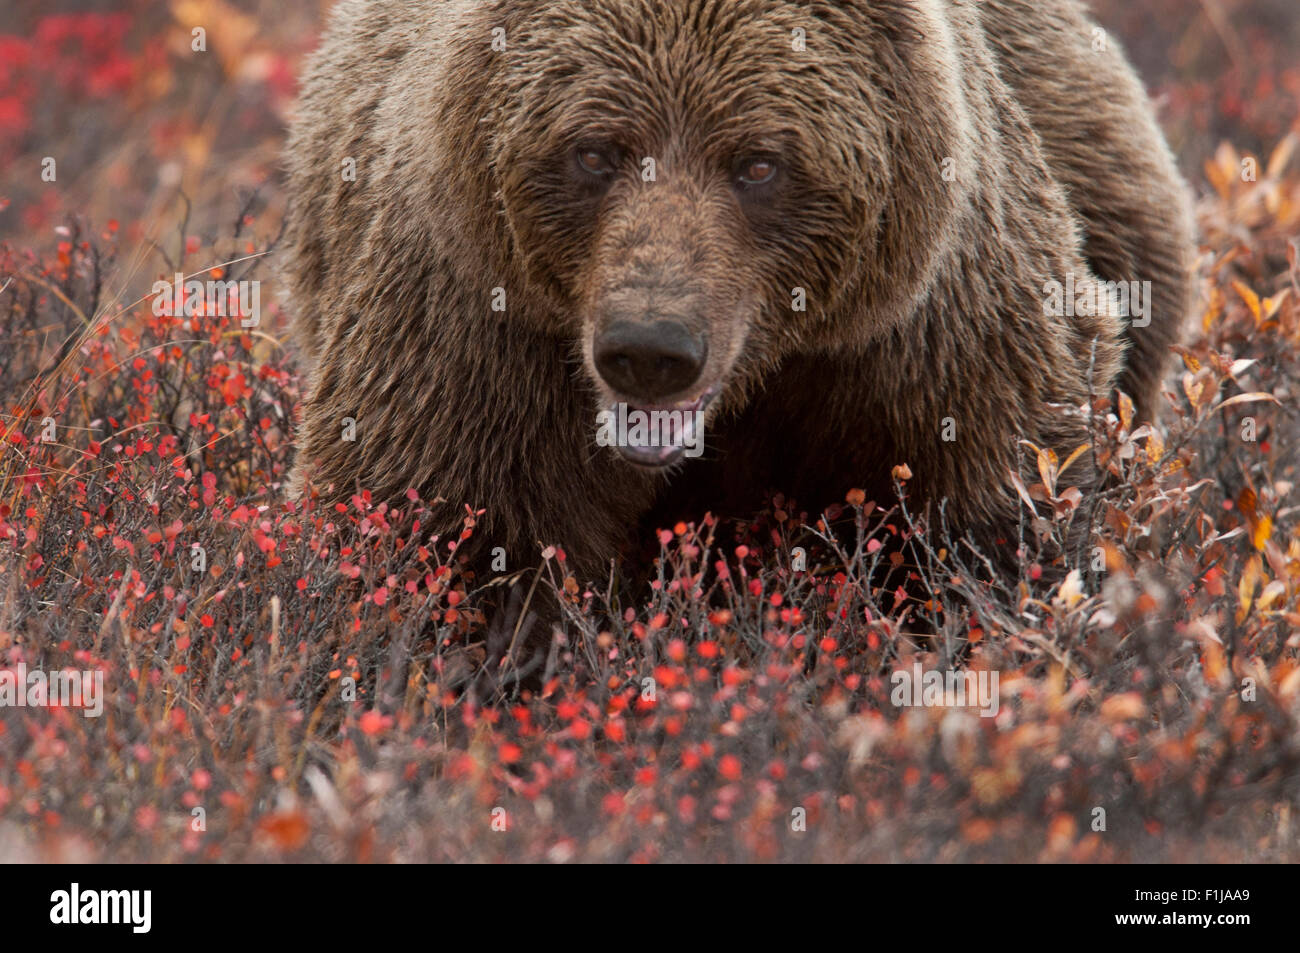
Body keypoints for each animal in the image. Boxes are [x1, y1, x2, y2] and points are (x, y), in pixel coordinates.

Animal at [282, 1, 1190, 595]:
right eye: (593, 150)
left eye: (759, 162)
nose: (650, 349)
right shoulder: (482, 317)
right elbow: (450, 525)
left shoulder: (927, 331)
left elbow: (991, 516)